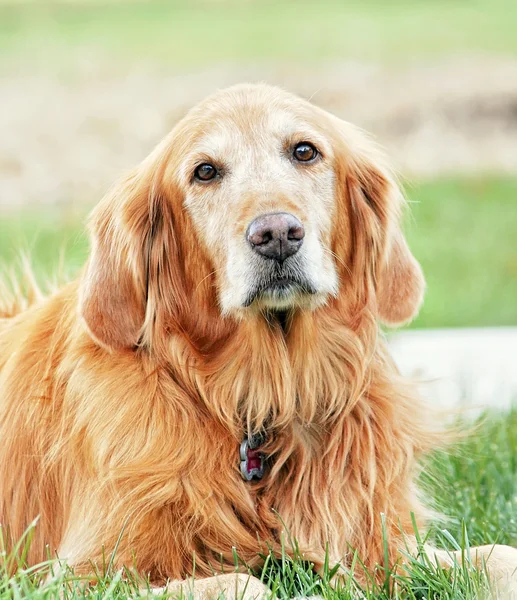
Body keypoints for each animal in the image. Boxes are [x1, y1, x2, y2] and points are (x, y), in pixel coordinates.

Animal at [1, 83, 516, 596]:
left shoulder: (383, 544)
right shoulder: (76, 574)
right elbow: (244, 583)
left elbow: (497, 556)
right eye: (205, 171)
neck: (271, 395)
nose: (277, 234)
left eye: (305, 151)